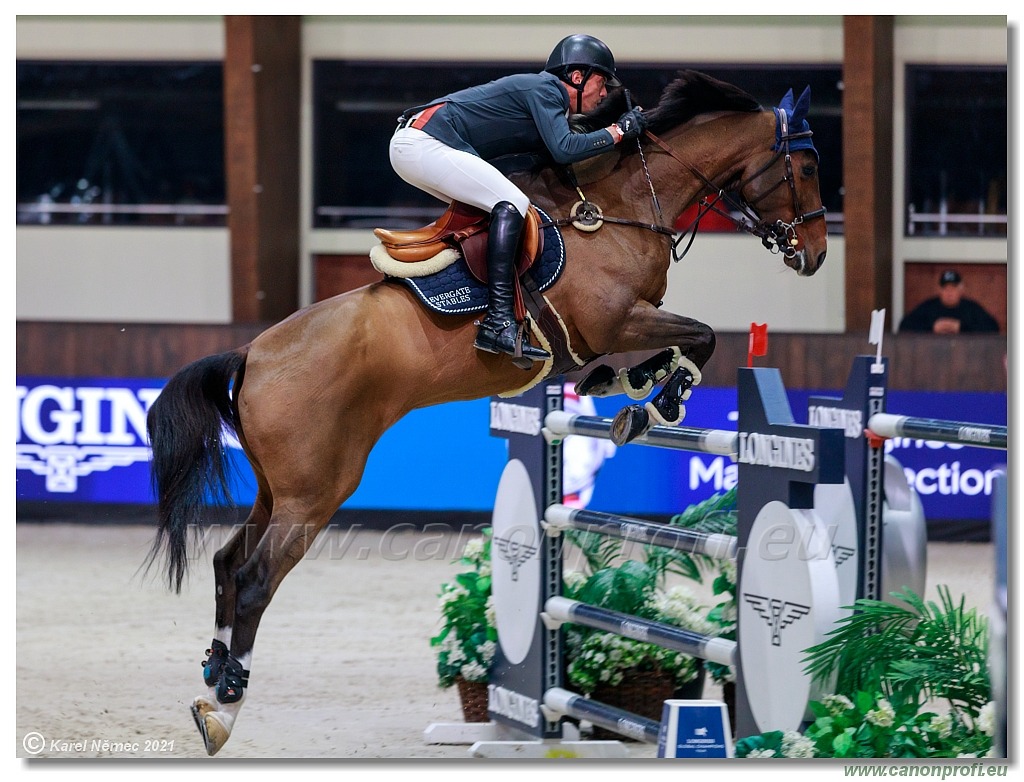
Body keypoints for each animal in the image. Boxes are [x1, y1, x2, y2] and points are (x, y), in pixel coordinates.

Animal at [148, 70, 827, 753]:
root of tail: (252, 354)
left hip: (278, 487)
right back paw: (226, 707)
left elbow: (681, 344)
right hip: (316, 491)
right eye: (807, 165)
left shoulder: (624, 325)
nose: (816, 255)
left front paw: (628, 385)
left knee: (227, 563)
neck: (623, 207)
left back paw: (213, 681)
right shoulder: (616, 321)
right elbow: (703, 337)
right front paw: (652, 401)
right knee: (255, 580)